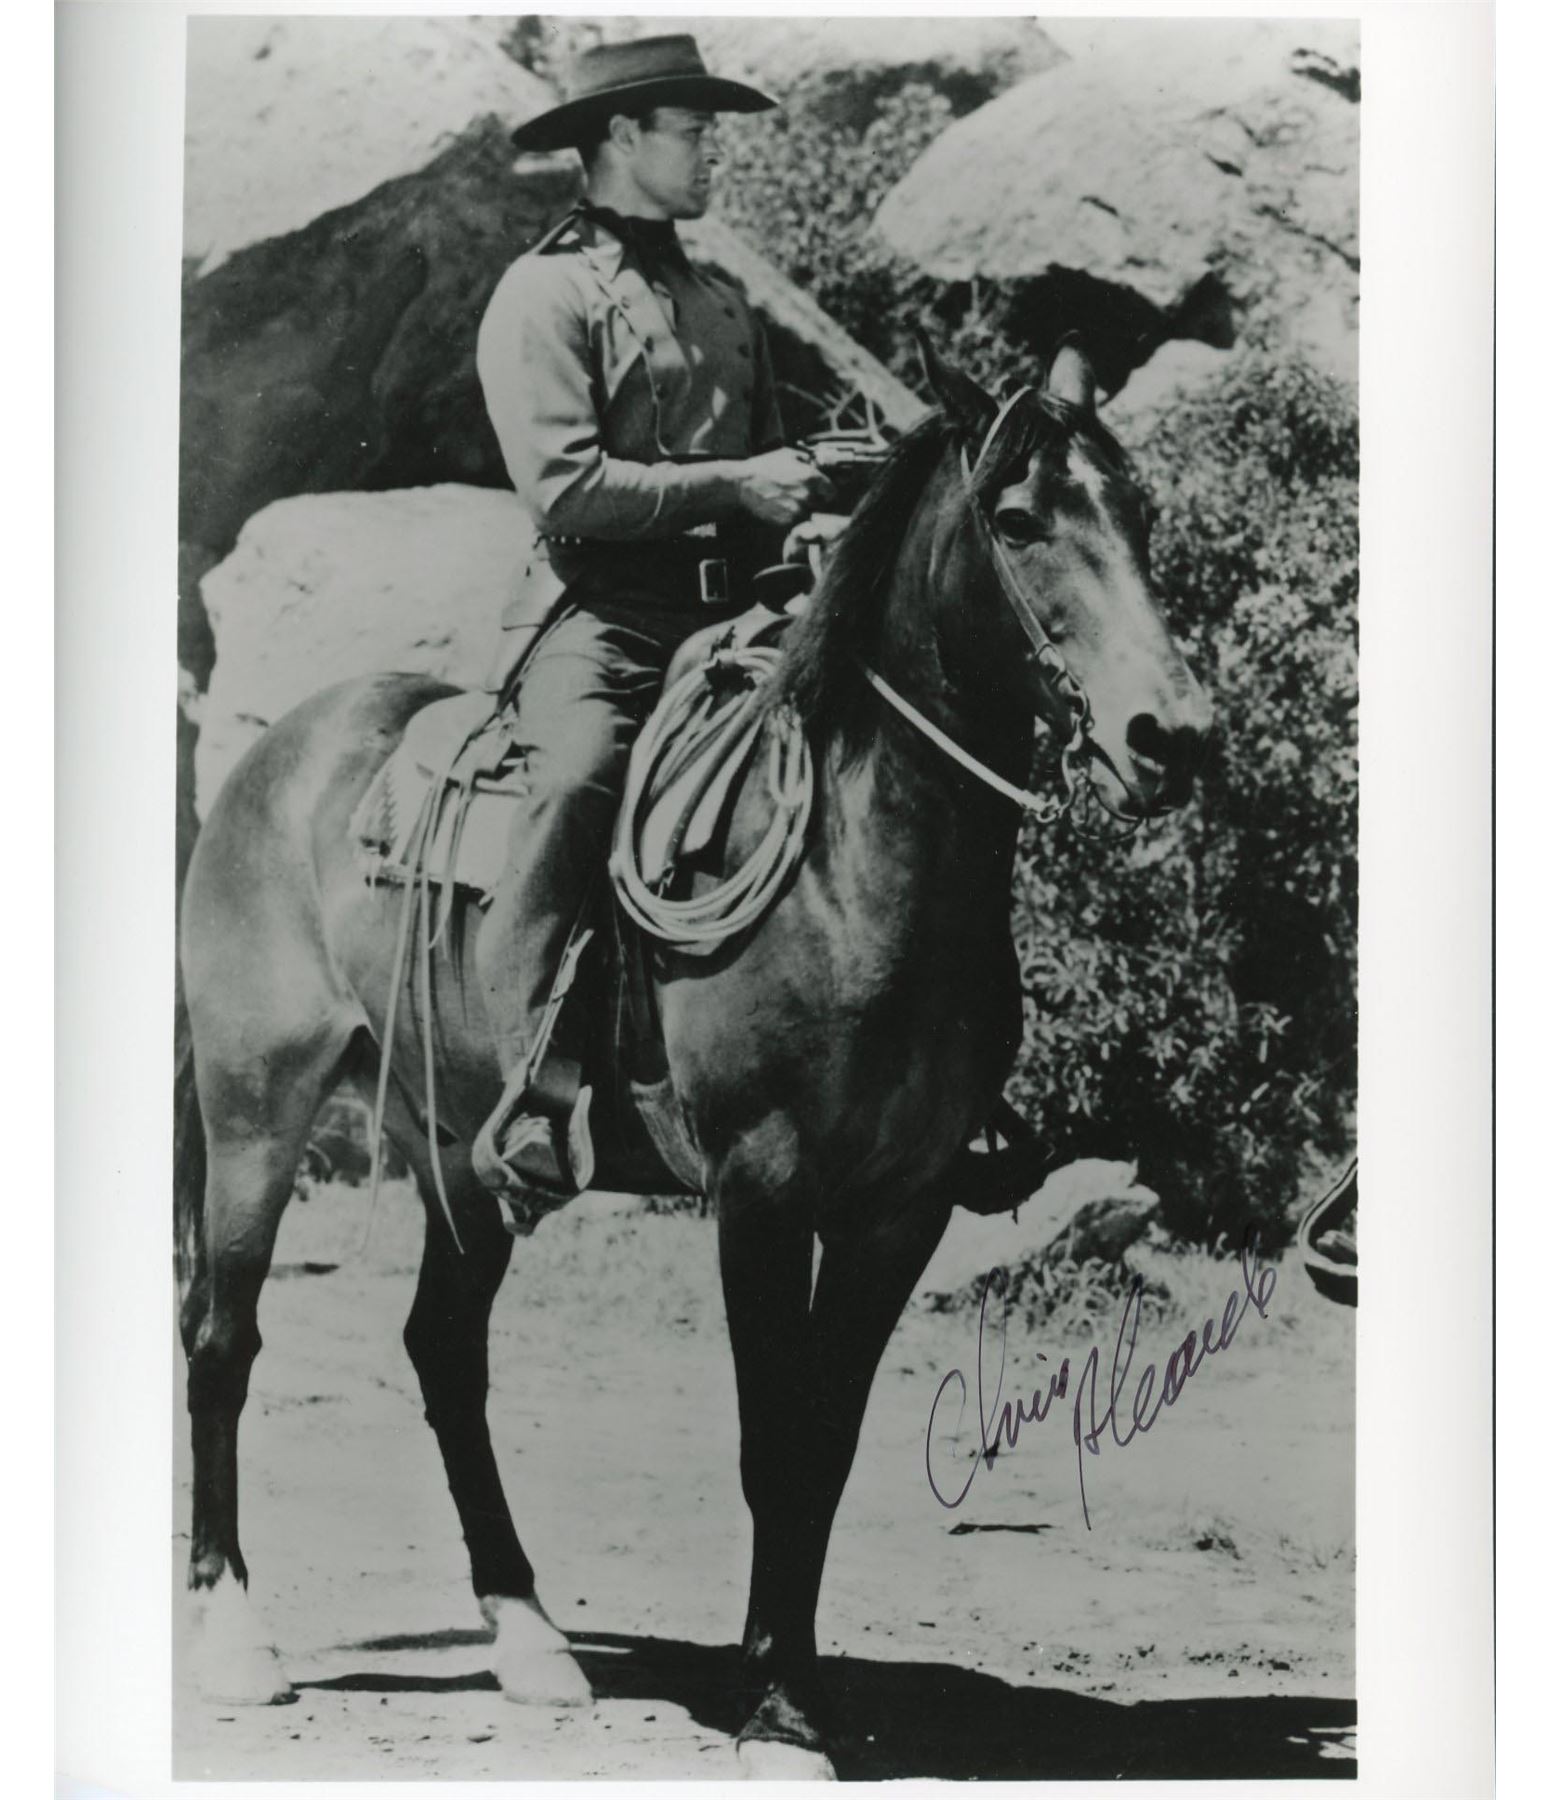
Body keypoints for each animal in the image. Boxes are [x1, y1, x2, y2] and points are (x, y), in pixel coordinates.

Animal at [174, 340, 1212, 1778]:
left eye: (1144, 515)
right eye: (1016, 522)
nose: (1172, 736)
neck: (847, 869)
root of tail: (286, 746)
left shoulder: (901, 1208)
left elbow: (824, 1446)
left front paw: (799, 1689)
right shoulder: (762, 1192)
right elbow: (769, 1443)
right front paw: (775, 1713)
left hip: (460, 1145)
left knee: (444, 1352)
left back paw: (530, 1640)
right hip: (253, 1108)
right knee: (223, 1336)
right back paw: (234, 1641)